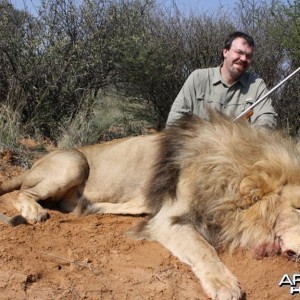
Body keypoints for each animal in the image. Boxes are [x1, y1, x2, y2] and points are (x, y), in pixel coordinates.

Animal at [0, 110, 300, 300]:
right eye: (298, 208)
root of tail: (35, 163)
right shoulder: (168, 219)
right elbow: (203, 249)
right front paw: (224, 285)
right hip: (74, 162)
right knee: (23, 192)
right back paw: (34, 212)